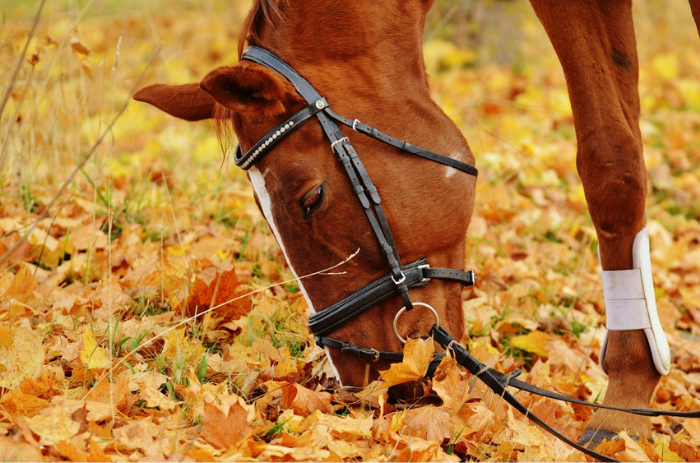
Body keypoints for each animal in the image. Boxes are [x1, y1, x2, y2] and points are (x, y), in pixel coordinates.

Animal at [133, 0, 700, 451]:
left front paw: (624, 404)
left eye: (311, 199)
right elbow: (612, 161)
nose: (368, 380)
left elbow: (611, 167)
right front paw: (630, 395)